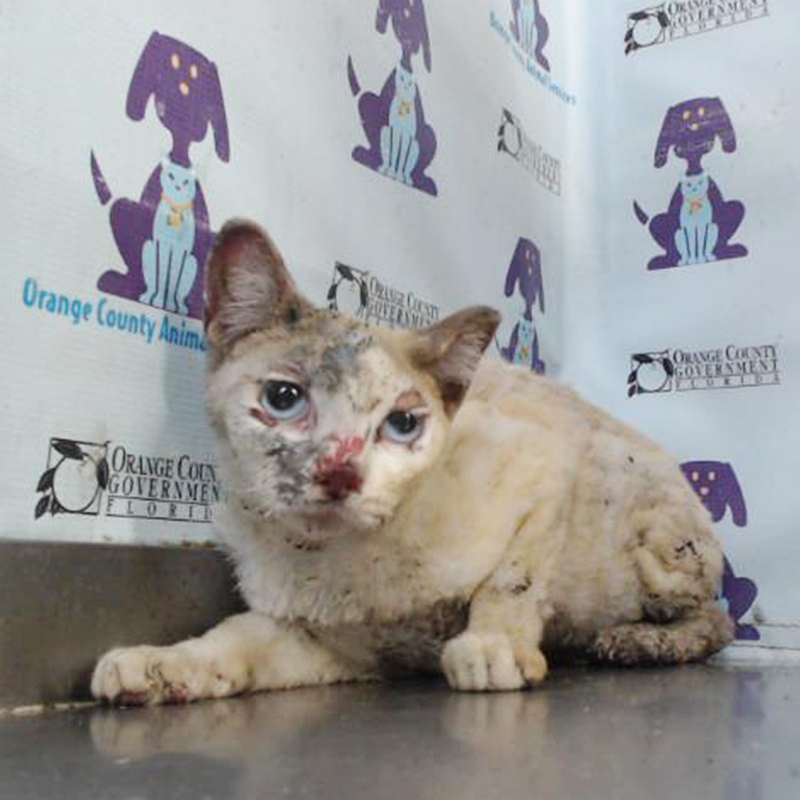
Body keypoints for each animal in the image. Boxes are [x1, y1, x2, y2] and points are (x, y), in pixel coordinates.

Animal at [92, 219, 732, 700]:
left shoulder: (548, 468)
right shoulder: (331, 642)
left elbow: (512, 581)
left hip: (650, 529)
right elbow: (233, 640)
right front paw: (158, 666)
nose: (339, 470)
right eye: (283, 398)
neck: (332, 561)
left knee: (716, 619)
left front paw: (493, 649)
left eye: (403, 425)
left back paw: (634, 642)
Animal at [139, 156, 198, 316]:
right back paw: (148, 297)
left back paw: (180, 307)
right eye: (171, 176)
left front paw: (170, 304)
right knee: (152, 283)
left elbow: (174, 281)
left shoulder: (182, 251)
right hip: (148, 248)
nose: (178, 187)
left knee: (180, 294)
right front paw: (159, 301)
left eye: (186, 181)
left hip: (192, 262)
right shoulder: (162, 243)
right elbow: (162, 274)